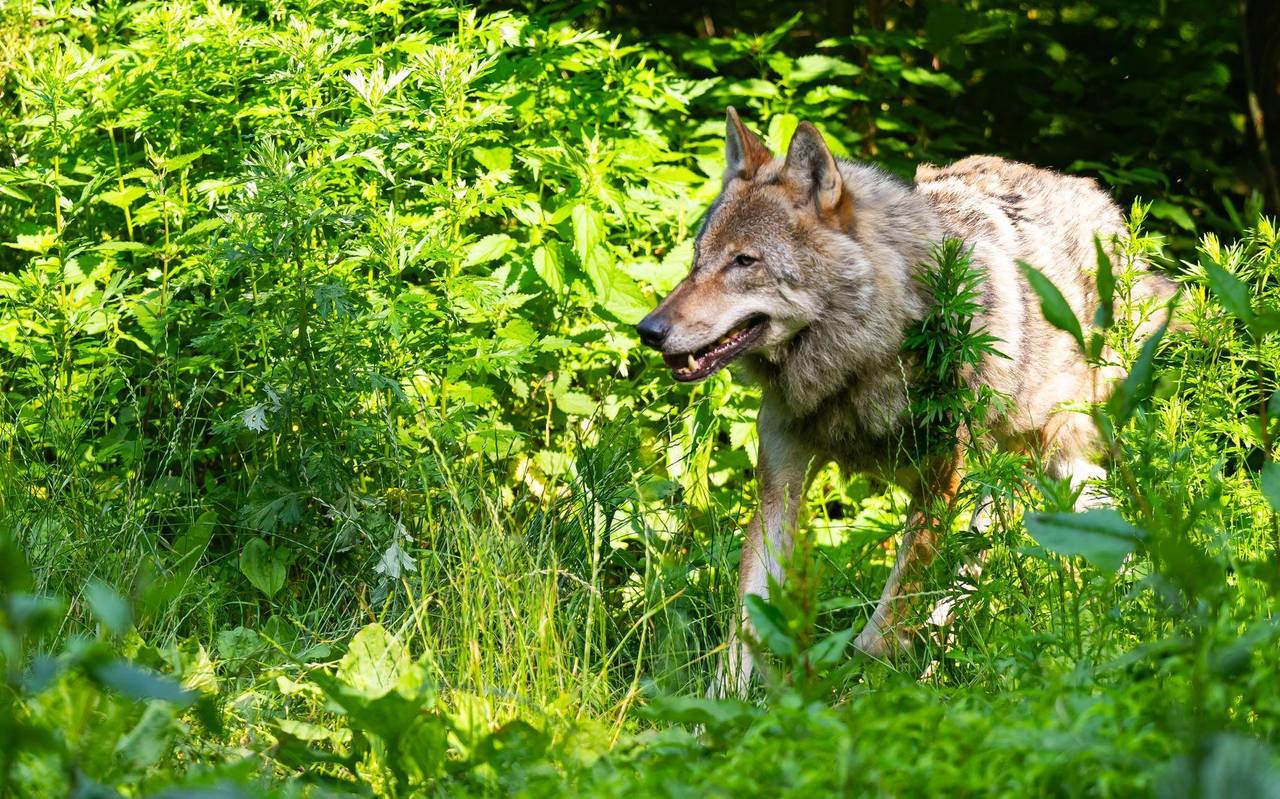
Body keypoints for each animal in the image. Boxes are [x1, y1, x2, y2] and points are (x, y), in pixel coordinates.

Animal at [636, 108, 1175, 697]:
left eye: (744, 261)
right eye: (697, 260)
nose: (649, 330)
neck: (860, 362)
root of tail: (1099, 200)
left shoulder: (940, 489)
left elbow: (883, 629)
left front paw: (861, 699)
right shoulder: (781, 488)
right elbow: (743, 633)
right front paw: (714, 714)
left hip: (1031, 467)